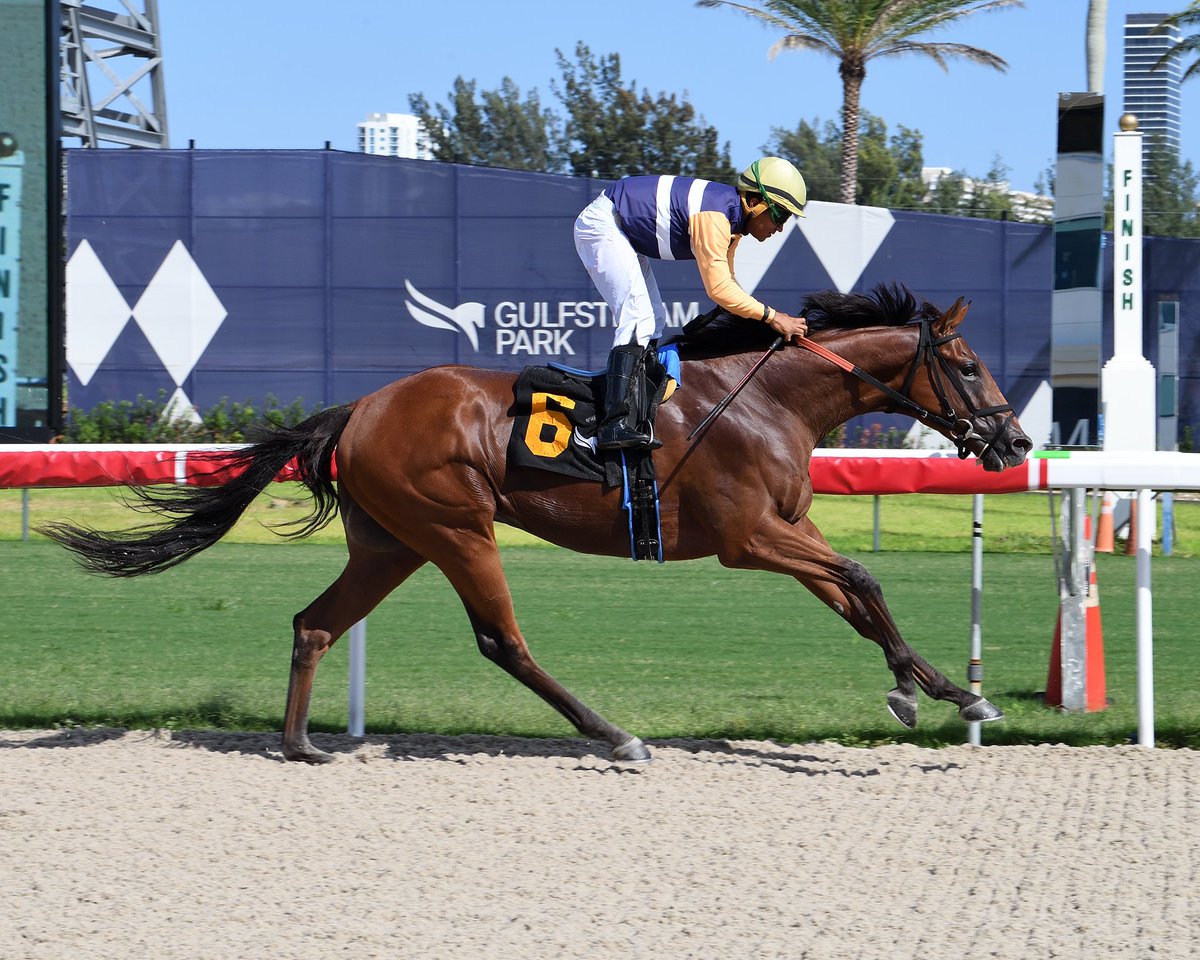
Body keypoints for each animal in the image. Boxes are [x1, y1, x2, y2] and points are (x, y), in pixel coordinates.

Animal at [39, 280, 1032, 763]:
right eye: (969, 365)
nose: (1015, 440)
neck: (767, 398)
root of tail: (360, 407)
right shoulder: (748, 539)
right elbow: (863, 579)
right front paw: (922, 689)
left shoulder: (791, 533)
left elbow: (859, 598)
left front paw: (945, 690)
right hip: (455, 528)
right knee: (501, 641)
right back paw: (616, 735)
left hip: (392, 543)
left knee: (315, 623)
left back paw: (300, 745)